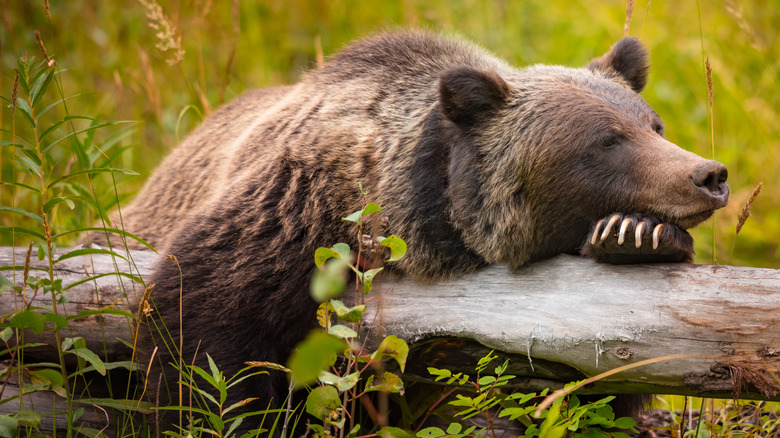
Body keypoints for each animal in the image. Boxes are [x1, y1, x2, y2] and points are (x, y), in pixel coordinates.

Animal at [88, 31, 728, 432]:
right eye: (606, 141)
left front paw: (636, 236)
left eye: (653, 125)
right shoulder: (294, 211)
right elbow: (202, 326)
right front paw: (225, 414)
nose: (709, 175)